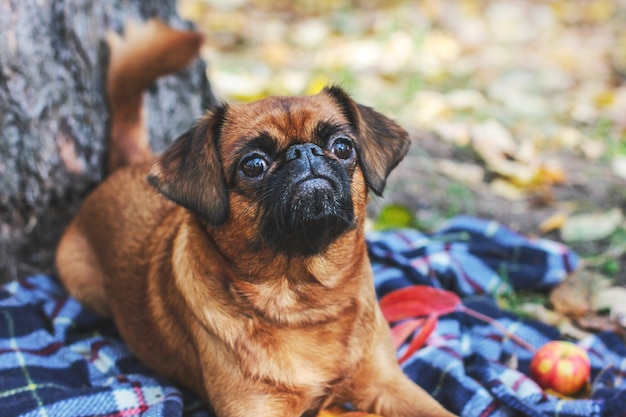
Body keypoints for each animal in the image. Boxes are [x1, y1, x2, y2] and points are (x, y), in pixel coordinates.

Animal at [54, 20, 454, 417]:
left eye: (342, 147)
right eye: (254, 165)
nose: (304, 151)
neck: (303, 299)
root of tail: (128, 166)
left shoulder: (389, 384)